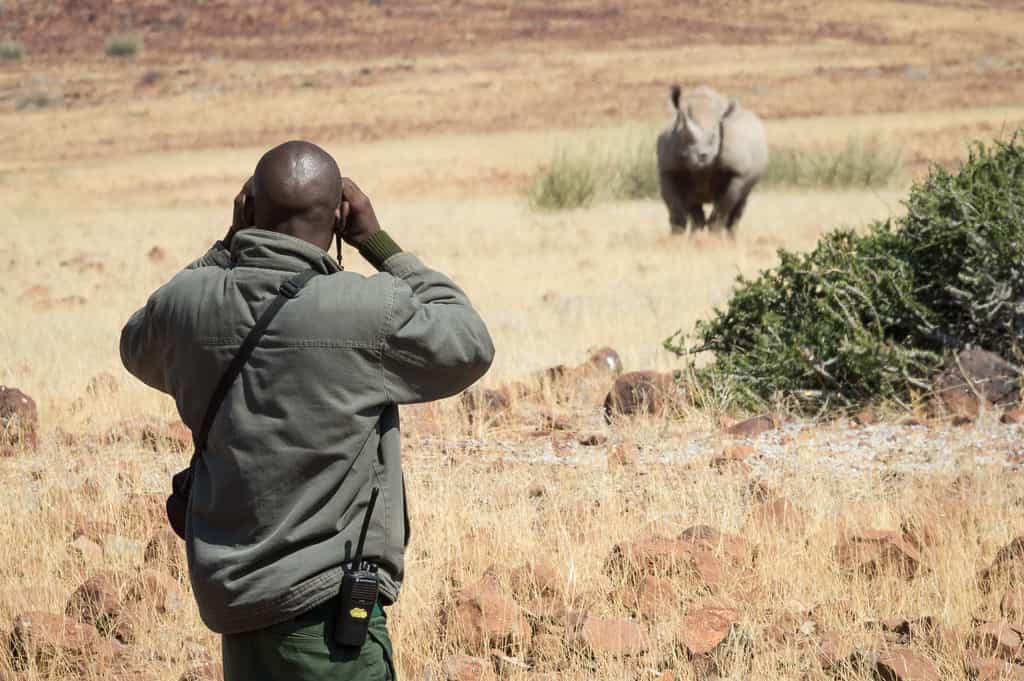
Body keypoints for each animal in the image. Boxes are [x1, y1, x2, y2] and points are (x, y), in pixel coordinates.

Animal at [656, 85, 768, 235]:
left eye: (715, 137)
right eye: (683, 135)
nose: (702, 156)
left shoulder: (737, 173)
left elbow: (723, 209)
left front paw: (714, 235)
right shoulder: (668, 170)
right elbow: (675, 211)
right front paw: (675, 238)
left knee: (739, 205)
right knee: (694, 206)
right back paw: (696, 236)